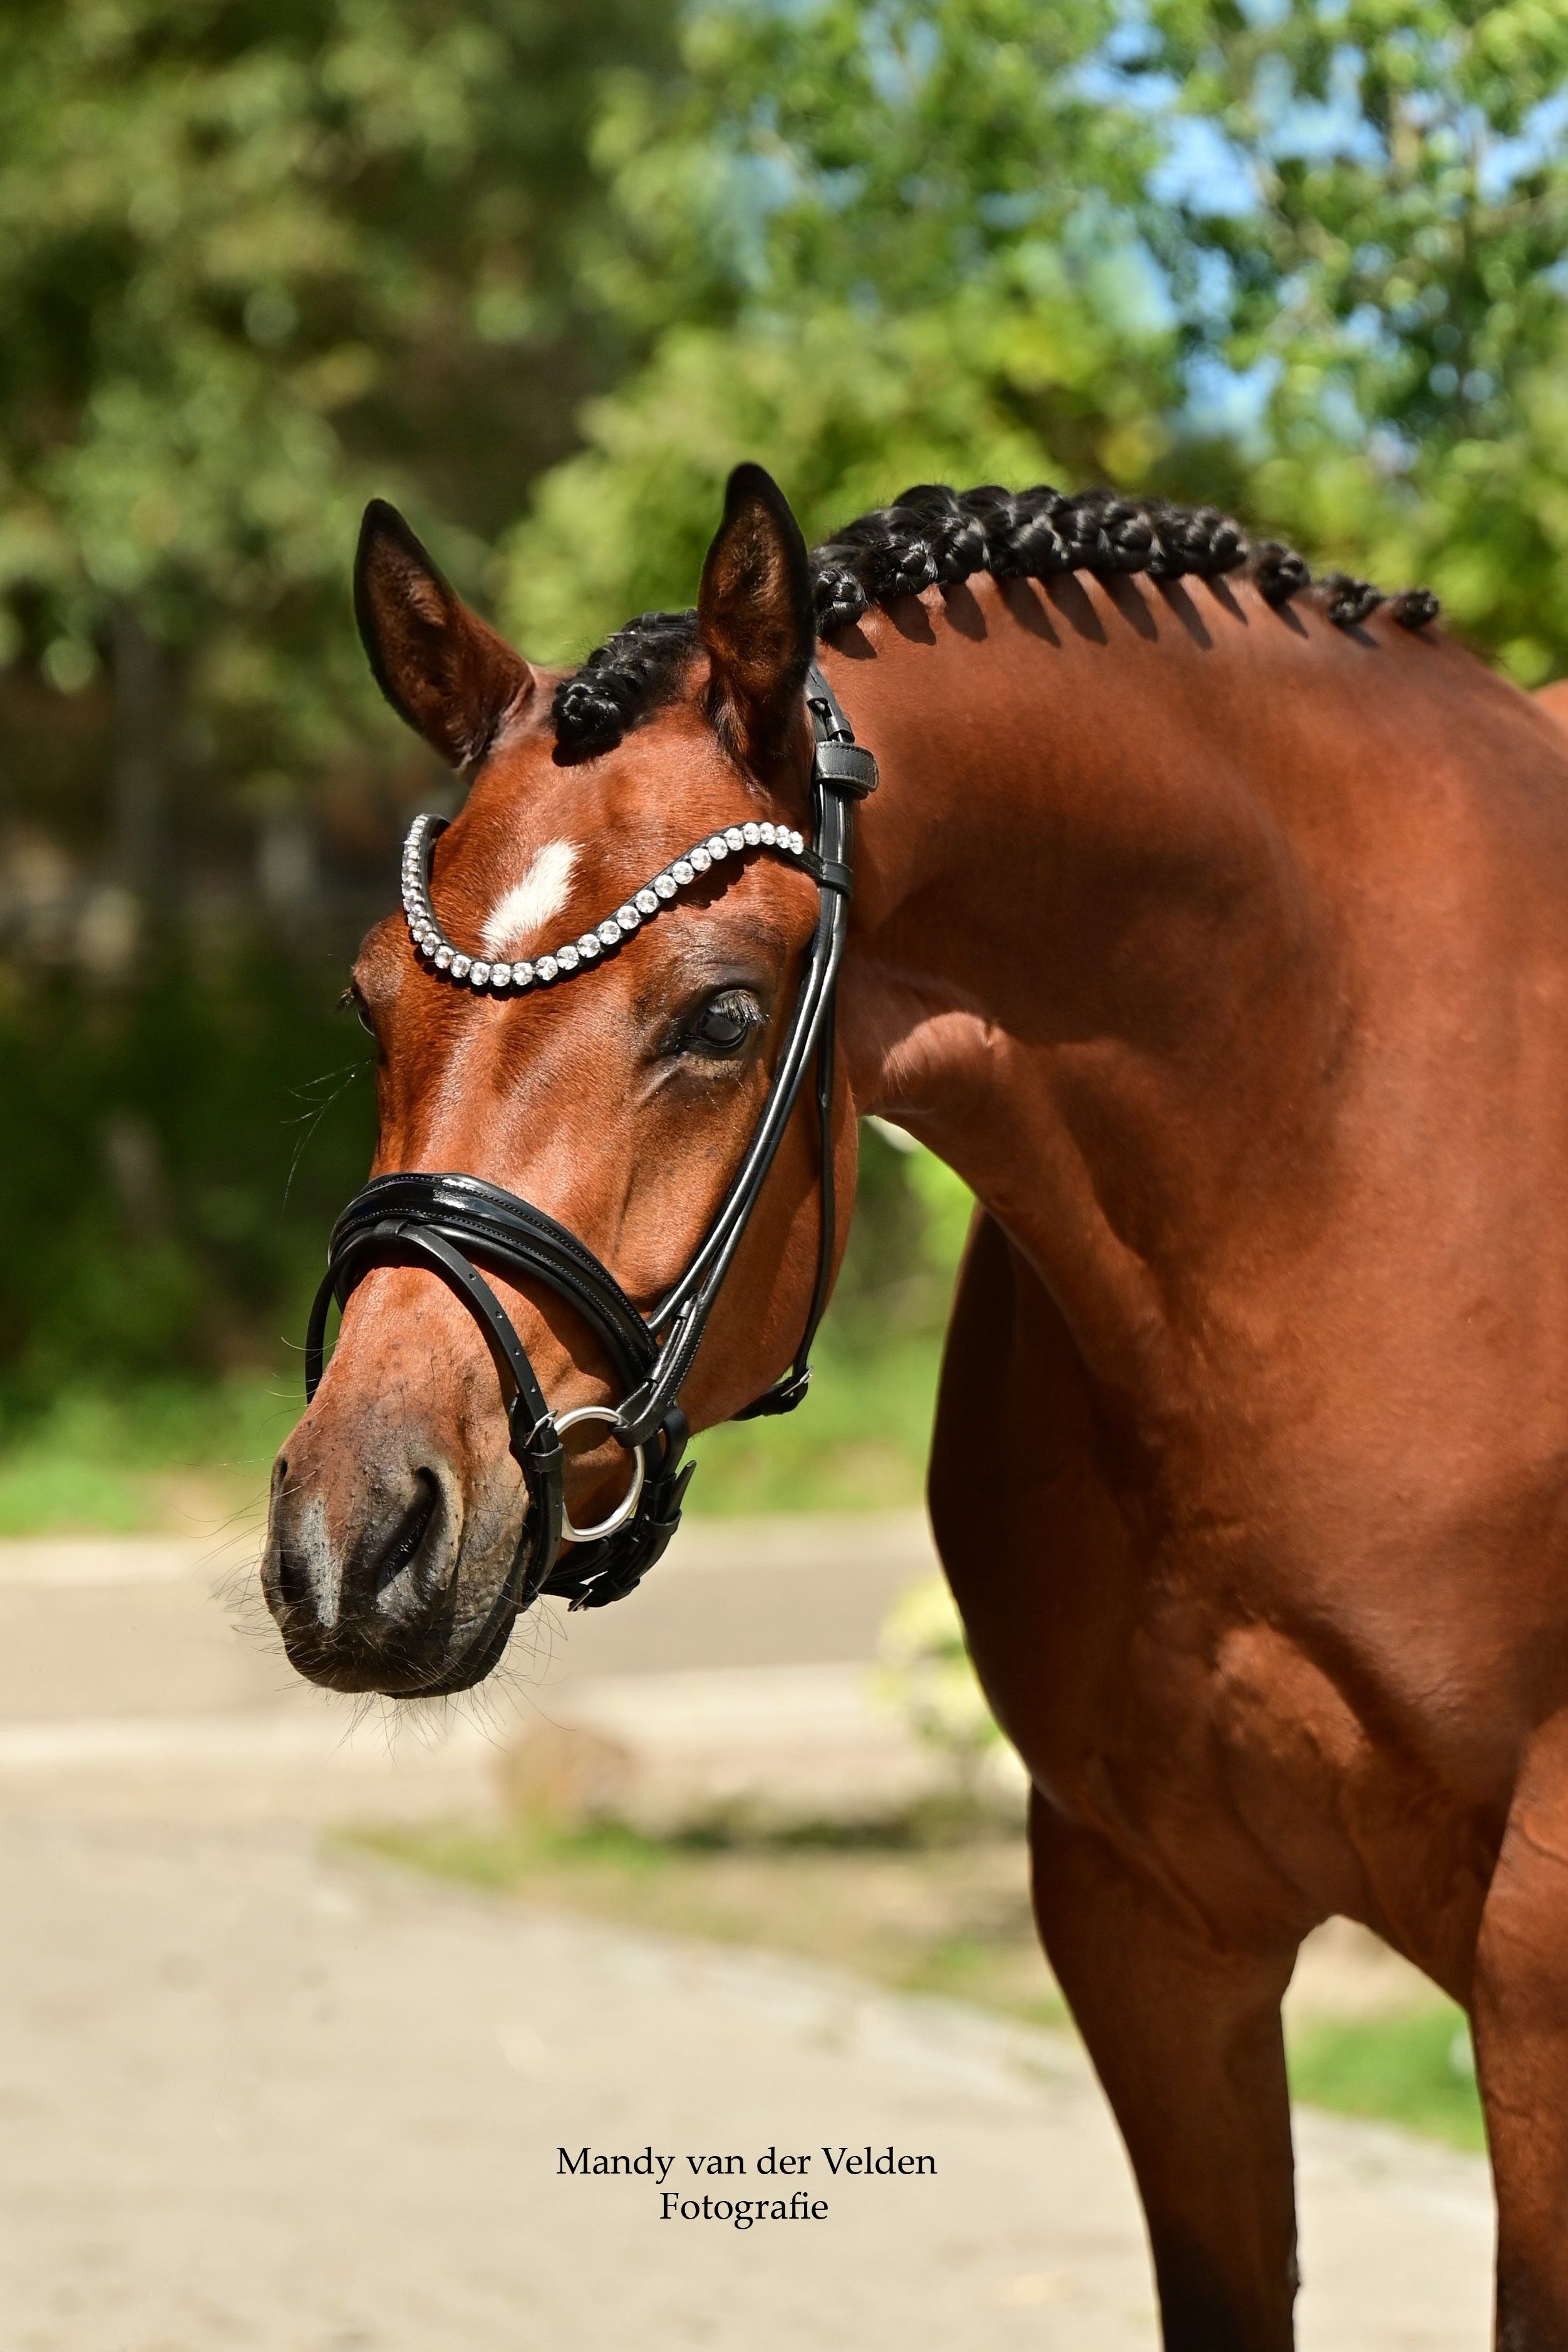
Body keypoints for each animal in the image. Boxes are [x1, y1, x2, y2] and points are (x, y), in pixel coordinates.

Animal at [263, 464, 1568, 2349]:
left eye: (722, 1012)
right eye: (374, 1001)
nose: (352, 1538)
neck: (1344, 1138)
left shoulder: (1539, 1960)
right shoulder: (1145, 1924)